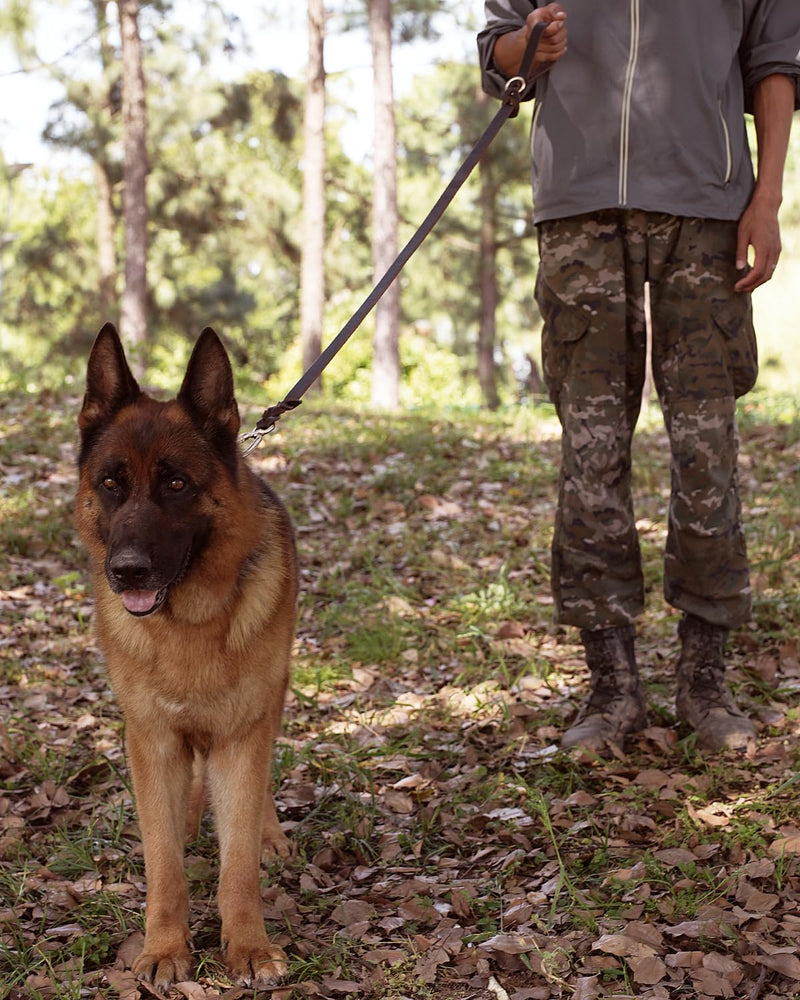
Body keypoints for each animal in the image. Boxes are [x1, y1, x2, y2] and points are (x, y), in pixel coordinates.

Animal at [76, 324, 296, 988]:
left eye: (176, 484)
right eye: (111, 484)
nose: (126, 572)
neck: (190, 624)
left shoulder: (242, 736)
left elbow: (239, 862)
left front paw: (247, 945)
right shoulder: (152, 742)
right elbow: (164, 862)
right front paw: (165, 948)